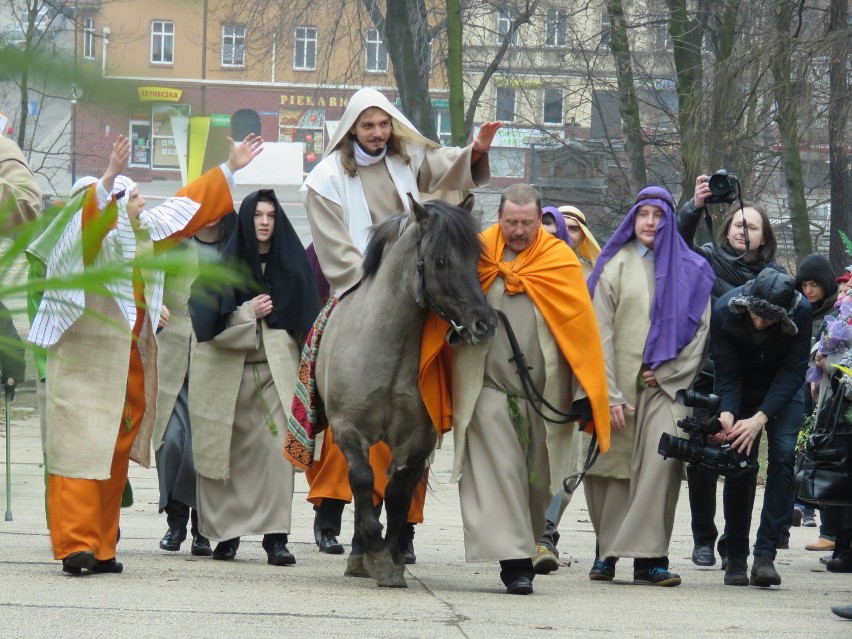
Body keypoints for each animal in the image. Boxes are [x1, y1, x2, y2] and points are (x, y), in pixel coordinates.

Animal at [316, 196, 496, 592]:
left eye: (475, 258)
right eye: (440, 261)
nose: (485, 323)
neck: (388, 347)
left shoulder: (416, 437)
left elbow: (397, 492)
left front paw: (390, 558)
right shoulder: (348, 428)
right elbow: (362, 480)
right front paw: (373, 553)